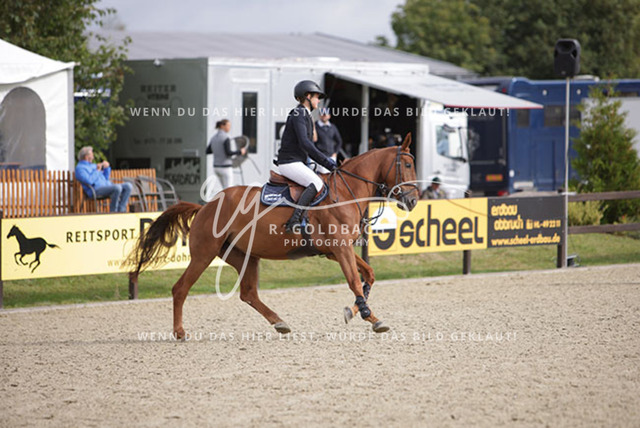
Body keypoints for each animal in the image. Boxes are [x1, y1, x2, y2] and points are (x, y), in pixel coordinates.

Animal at [128, 134, 419, 339]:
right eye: (406, 164)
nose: (413, 200)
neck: (347, 192)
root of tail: (205, 206)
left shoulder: (336, 251)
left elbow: (368, 275)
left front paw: (356, 310)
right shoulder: (340, 249)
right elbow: (355, 281)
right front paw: (371, 317)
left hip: (244, 256)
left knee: (248, 294)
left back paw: (280, 322)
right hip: (204, 254)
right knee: (181, 288)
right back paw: (179, 332)